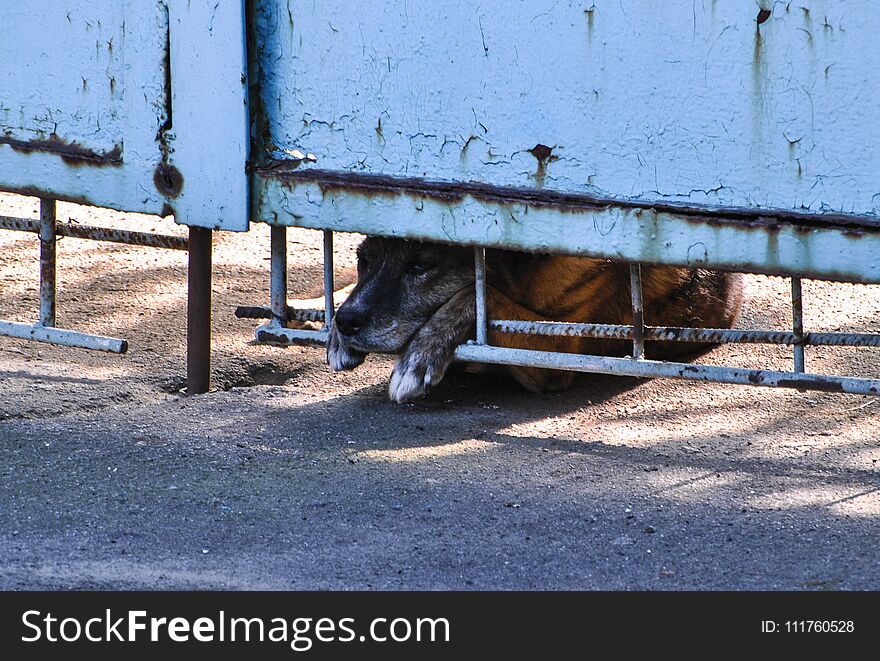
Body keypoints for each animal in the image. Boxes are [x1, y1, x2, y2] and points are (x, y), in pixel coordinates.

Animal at [324, 237, 744, 402]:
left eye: (419, 267)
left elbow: (476, 295)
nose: (347, 322)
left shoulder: (559, 352)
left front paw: (418, 359)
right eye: (363, 259)